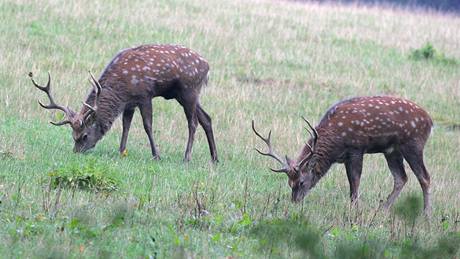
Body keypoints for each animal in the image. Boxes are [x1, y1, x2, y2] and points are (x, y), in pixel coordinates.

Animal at [29, 44, 219, 162]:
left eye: (84, 136)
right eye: (72, 135)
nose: (76, 152)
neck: (121, 88)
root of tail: (208, 67)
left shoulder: (144, 95)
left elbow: (147, 125)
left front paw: (156, 155)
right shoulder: (129, 102)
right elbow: (126, 125)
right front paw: (121, 151)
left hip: (189, 90)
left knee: (193, 122)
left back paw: (187, 157)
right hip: (184, 95)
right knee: (206, 118)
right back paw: (215, 158)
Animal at [253, 95, 434, 215]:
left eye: (302, 182)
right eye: (290, 183)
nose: (294, 201)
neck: (336, 141)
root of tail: (430, 121)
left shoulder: (357, 148)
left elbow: (355, 181)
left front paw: (354, 211)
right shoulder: (346, 157)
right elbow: (351, 184)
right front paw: (354, 208)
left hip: (413, 144)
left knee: (424, 177)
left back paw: (426, 214)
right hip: (392, 150)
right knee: (401, 178)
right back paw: (382, 209)